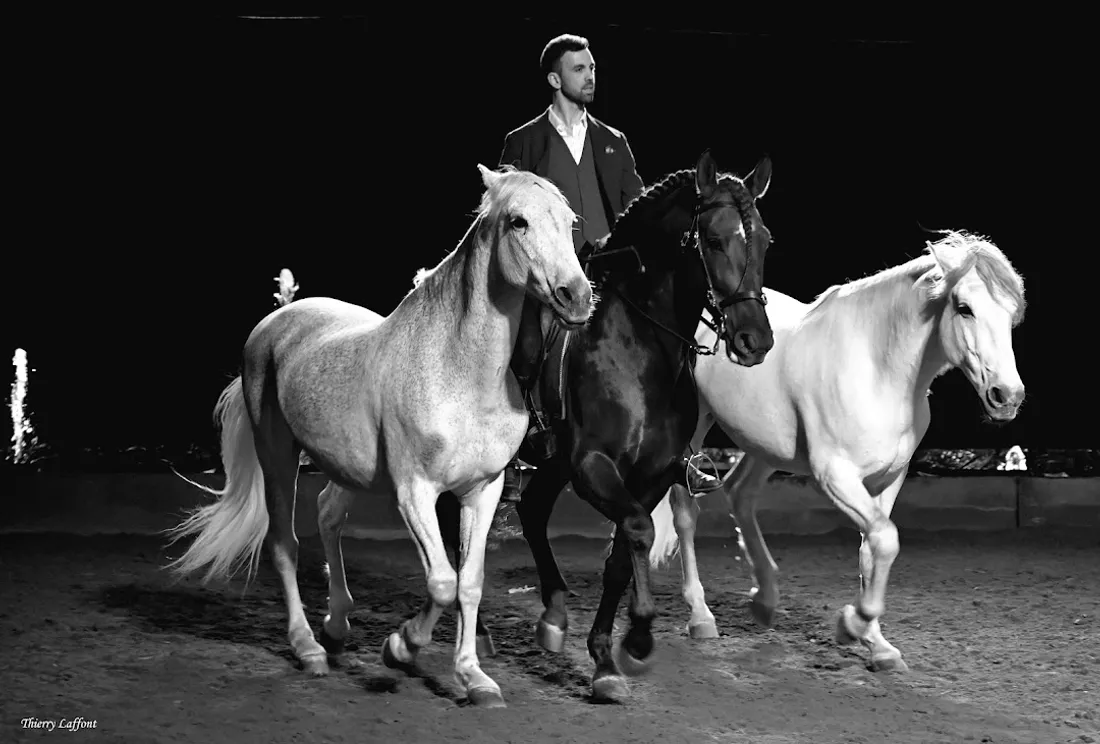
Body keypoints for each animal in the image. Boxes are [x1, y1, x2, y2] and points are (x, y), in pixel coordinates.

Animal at [161, 163, 595, 709]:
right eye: (518, 221)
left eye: (570, 220)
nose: (577, 297)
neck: (459, 371)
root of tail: (276, 319)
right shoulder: (415, 492)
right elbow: (441, 581)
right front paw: (400, 647)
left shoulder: (483, 490)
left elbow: (469, 582)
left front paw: (474, 678)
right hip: (277, 454)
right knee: (284, 543)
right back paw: (308, 647)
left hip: (346, 468)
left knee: (327, 515)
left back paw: (337, 626)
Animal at [424, 149, 776, 702]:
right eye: (716, 240)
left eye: (763, 240)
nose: (754, 341)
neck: (640, 349)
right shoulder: (592, 465)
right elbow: (635, 531)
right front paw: (636, 639)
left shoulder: (652, 474)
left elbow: (621, 555)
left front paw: (609, 656)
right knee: (460, 526)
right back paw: (478, 636)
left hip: (550, 464)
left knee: (532, 511)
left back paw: (553, 616)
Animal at [645, 229, 1026, 673]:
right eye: (964, 308)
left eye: (1011, 314)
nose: (1007, 396)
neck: (878, 369)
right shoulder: (835, 476)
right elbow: (886, 539)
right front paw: (851, 626)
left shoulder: (887, 480)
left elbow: (873, 549)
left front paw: (878, 646)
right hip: (696, 427)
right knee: (686, 513)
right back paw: (701, 617)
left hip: (767, 445)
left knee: (740, 493)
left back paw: (765, 601)